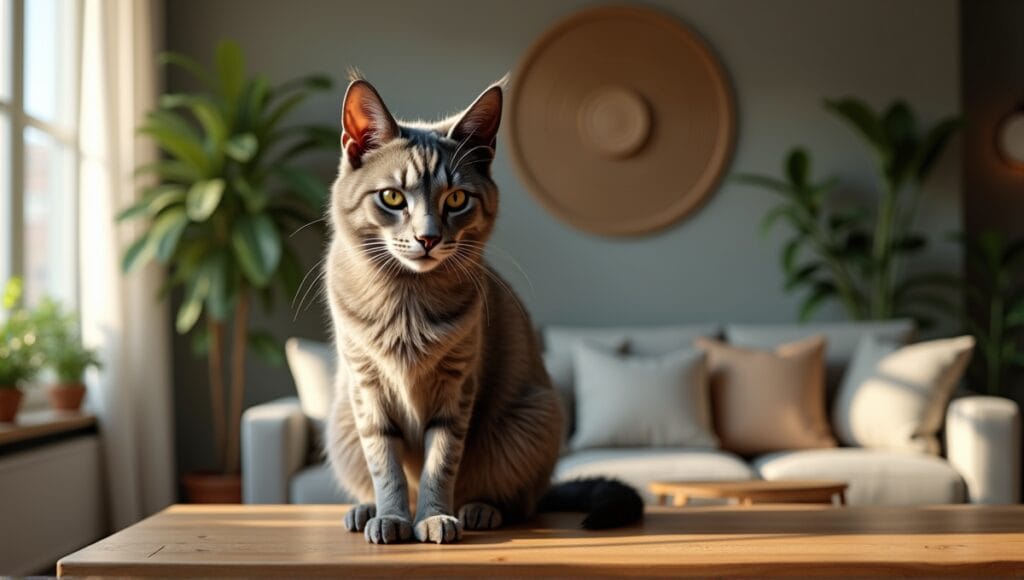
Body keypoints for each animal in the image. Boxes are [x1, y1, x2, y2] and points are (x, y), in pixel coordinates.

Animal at [323, 76, 638, 545]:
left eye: (456, 199)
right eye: (393, 197)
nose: (428, 238)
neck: (407, 301)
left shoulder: (457, 386)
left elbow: (440, 463)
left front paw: (435, 516)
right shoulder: (367, 386)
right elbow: (385, 466)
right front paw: (393, 517)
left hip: (531, 420)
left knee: (521, 502)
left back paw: (480, 510)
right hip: (342, 421)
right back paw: (365, 509)